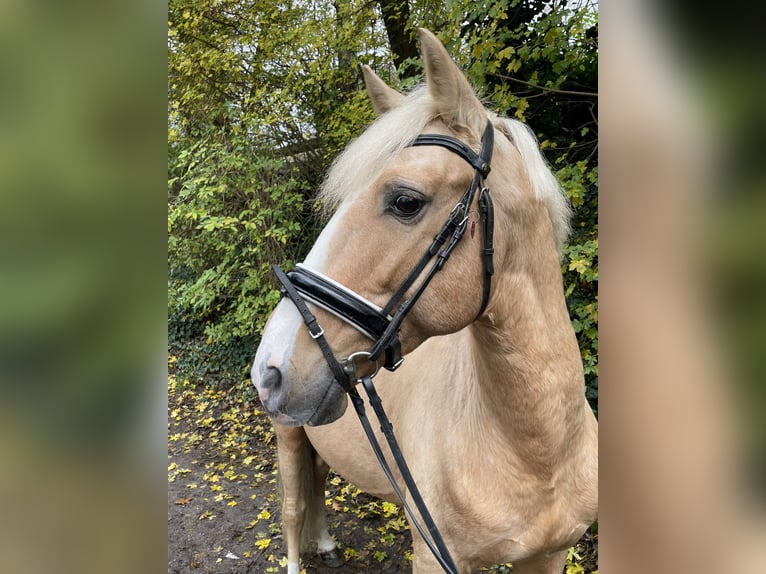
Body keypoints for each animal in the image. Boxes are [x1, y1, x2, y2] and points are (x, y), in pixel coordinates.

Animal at [252, 29, 600, 574]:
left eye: (406, 201)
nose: (269, 369)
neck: (538, 455)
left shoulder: (549, 556)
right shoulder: (434, 555)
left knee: (320, 484)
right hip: (287, 434)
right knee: (292, 510)